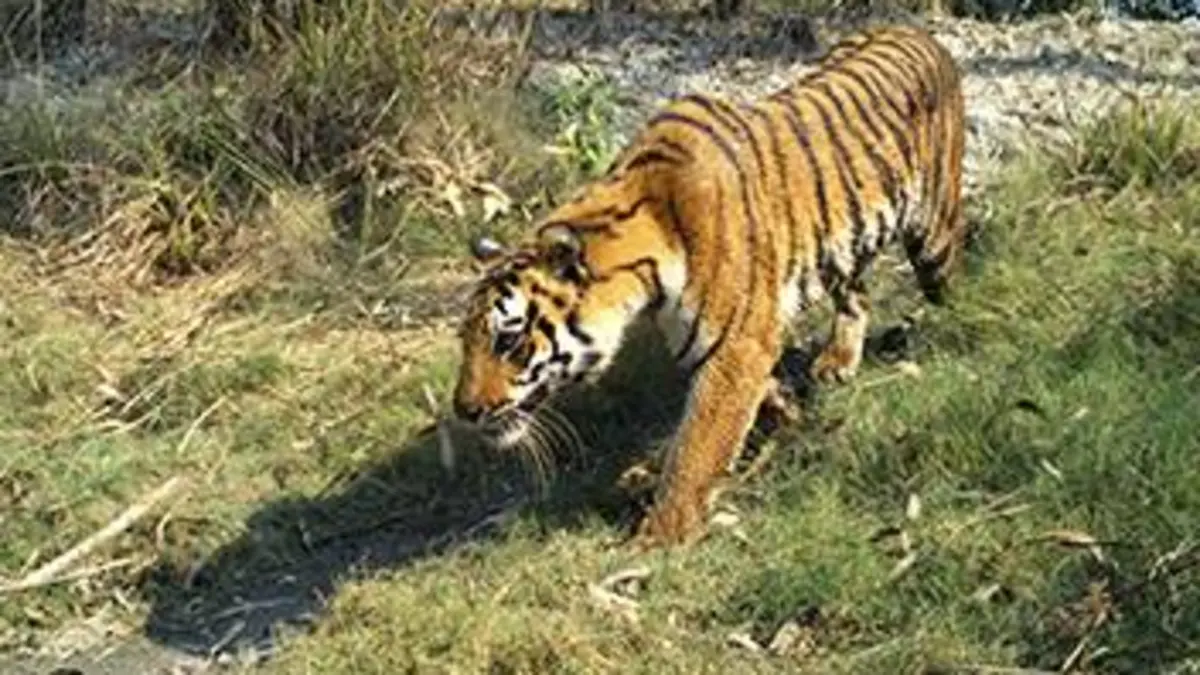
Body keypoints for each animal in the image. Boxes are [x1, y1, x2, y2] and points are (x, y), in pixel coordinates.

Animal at [451, 23, 967, 549]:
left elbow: (696, 446)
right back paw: (838, 361)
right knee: (855, 293)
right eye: (466, 340)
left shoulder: (736, 345)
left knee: (949, 278)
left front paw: (660, 534)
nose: (463, 411)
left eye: (508, 339)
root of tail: (917, 31)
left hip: (933, 235)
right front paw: (783, 412)